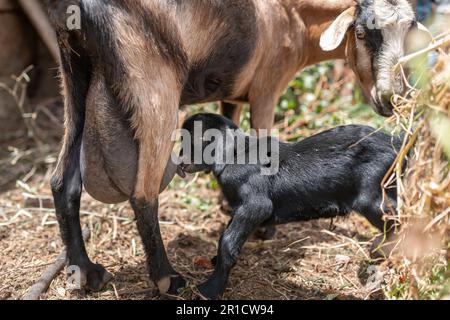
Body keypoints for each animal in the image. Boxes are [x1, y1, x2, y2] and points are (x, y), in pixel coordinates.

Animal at [44, 0, 424, 296]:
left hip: (74, 75)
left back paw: (85, 271)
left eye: (408, 31)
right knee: (143, 192)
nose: (393, 98)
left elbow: (230, 125)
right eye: (360, 33)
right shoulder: (267, 86)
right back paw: (167, 278)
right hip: (153, 85)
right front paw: (266, 230)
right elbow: (264, 134)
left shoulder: (232, 95)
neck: (292, 15)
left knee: (64, 180)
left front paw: (227, 208)